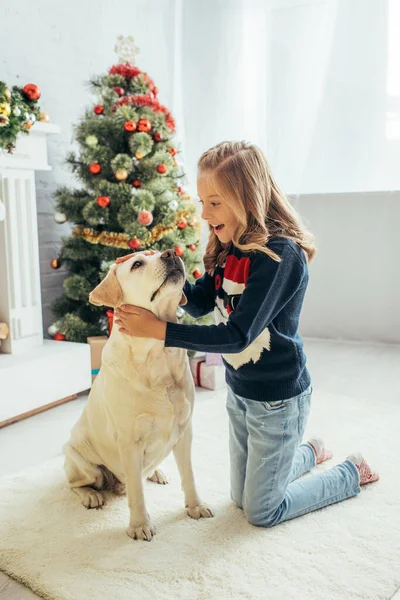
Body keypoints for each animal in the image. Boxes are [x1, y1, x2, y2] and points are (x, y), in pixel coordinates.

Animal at [63, 248, 212, 540]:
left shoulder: (184, 430)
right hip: (80, 458)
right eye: (137, 264)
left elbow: (189, 475)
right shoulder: (129, 441)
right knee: (78, 483)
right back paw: (91, 496)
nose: (172, 252)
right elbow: (137, 492)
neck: (156, 351)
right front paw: (140, 525)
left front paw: (195, 506)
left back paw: (157, 472)